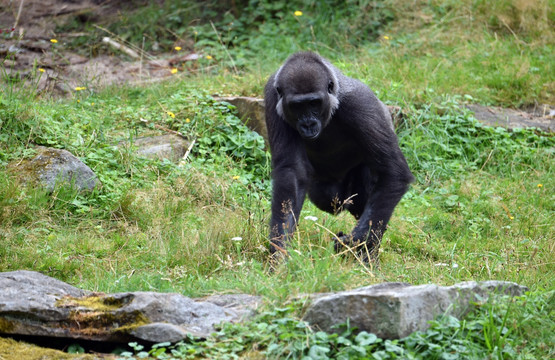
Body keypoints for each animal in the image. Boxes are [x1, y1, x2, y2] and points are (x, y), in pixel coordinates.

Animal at [264, 51, 412, 262]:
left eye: (314, 103)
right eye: (297, 106)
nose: (308, 124)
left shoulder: (361, 103)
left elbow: (392, 172)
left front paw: (359, 239)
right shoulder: (272, 96)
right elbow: (292, 173)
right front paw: (280, 249)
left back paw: (368, 255)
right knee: (327, 196)